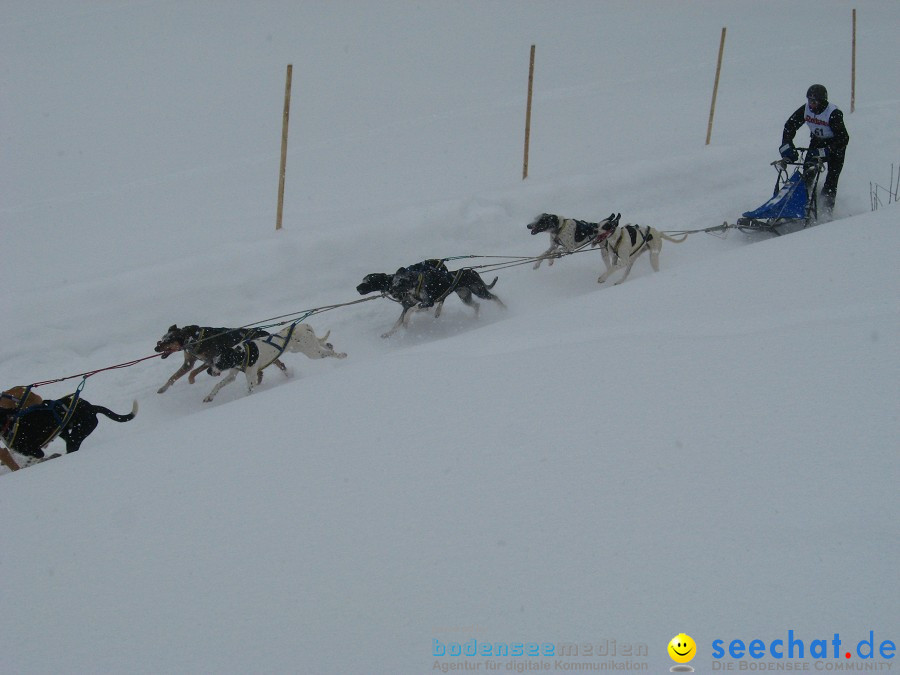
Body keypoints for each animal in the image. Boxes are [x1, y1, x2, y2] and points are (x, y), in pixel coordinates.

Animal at [151, 324, 284, 394]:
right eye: (162, 339)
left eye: (168, 341)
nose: (155, 348)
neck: (193, 338)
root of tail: (264, 332)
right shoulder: (188, 363)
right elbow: (173, 377)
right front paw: (163, 388)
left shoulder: (210, 360)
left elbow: (193, 372)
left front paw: (191, 380)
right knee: (260, 372)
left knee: (278, 364)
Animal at [202, 322, 346, 402]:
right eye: (211, 361)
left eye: (219, 362)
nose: (208, 371)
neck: (241, 352)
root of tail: (303, 326)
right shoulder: (232, 374)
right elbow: (218, 385)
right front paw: (209, 396)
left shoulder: (251, 378)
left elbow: (249, 390)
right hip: (310, 347)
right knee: (325, 344)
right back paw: (333, 348)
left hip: (313, 353)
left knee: (328, 353)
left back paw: (340, 355)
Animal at [356, 258, 502, 338]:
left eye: (367, 281)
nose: (357, 288)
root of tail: (471, 270)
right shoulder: (410, 305)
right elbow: (397, 323)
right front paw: (388, 333)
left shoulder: (423, 303)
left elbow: (408, 315)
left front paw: (406, 324)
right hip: (465, 297)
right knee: (476, 305)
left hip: (480, 292)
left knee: (494, 297)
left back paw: (504, 309)